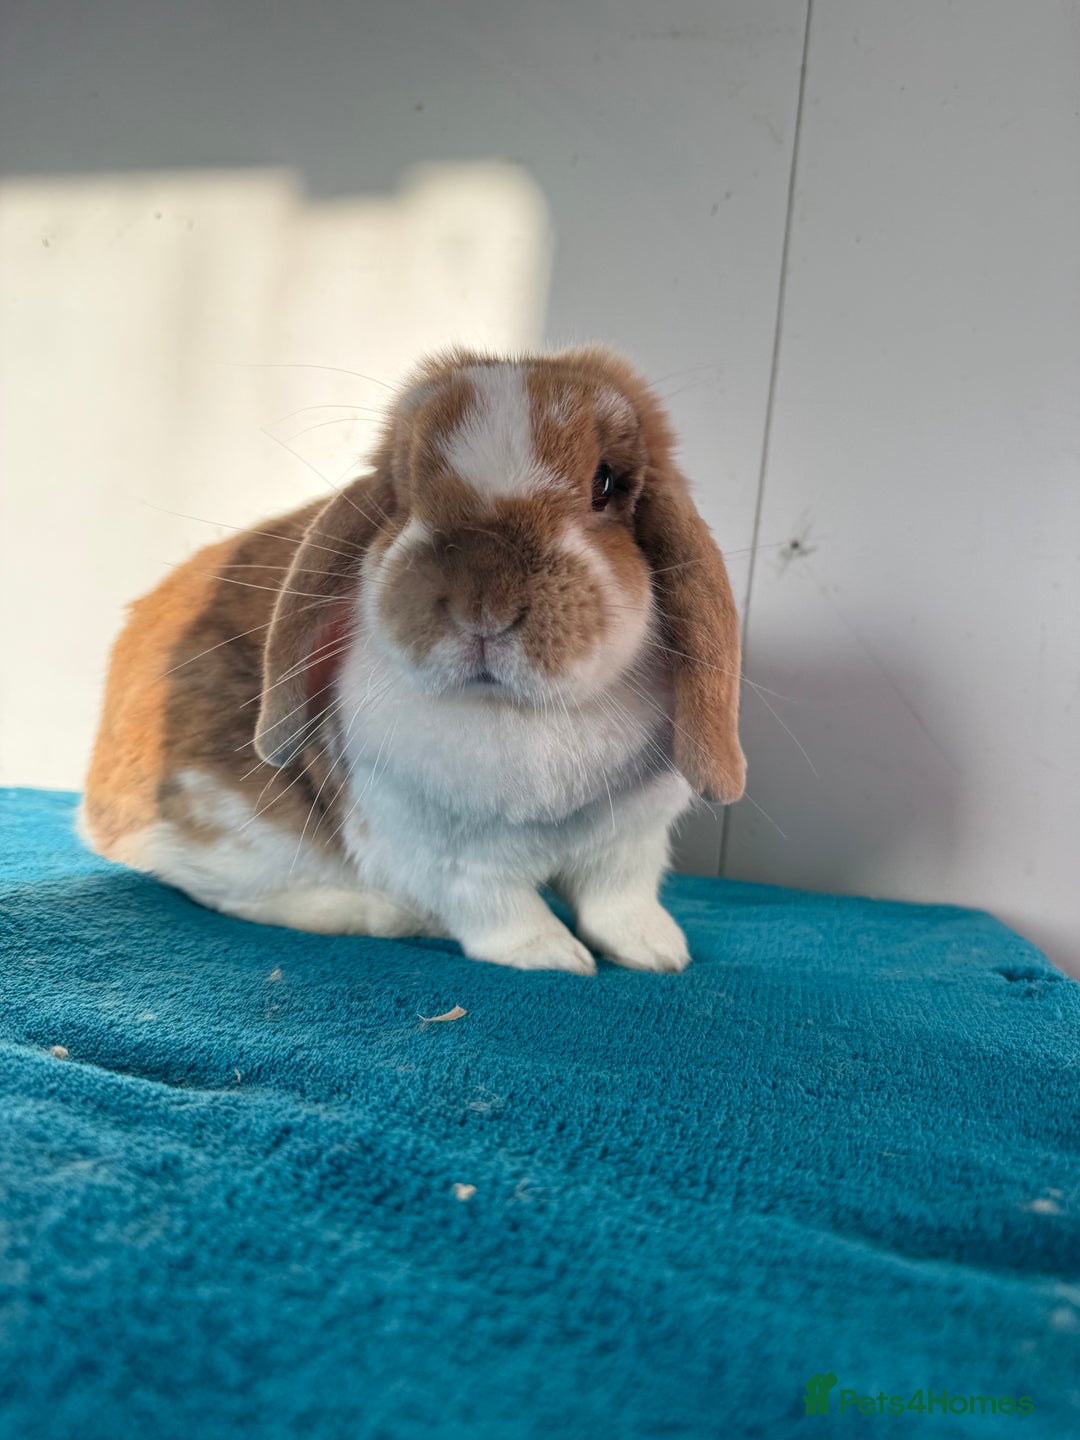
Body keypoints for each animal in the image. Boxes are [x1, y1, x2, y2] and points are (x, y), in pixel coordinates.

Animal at [80, 347, 746, 974]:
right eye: (405, 493)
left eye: (605, 483)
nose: (484, 602)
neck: (518, 713)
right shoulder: (441, 857)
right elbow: (502, 911)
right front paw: (554, 956)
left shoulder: (631, 841)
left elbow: (621, 903)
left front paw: (659, 954)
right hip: (233, 820)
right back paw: (389, 915)